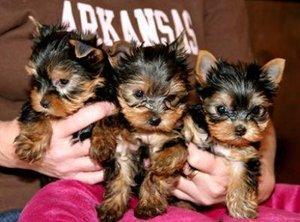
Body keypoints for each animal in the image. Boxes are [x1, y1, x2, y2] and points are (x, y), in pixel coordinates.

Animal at [14, 17, 116, 162]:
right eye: (36, 77)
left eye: (63, 81)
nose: (42, 103)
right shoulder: (31, 102)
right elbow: (35, 114)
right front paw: (32, 143)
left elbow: (109, 118)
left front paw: (103, 143)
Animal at [89, 35, 190, 221]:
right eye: (138, 94)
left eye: (171, 97)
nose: (156, 119)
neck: (145, 132)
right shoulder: (123, 147)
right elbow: (119, 178)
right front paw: (112, 207)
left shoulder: (170, 138)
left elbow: (163, 167)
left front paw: (149, 203)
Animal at [186, 50, 284, 219]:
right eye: (221, 109)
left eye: (256, 110)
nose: (241, 129)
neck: (224, 142)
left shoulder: (245, 155)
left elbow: (242, 179)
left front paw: (241, 207)